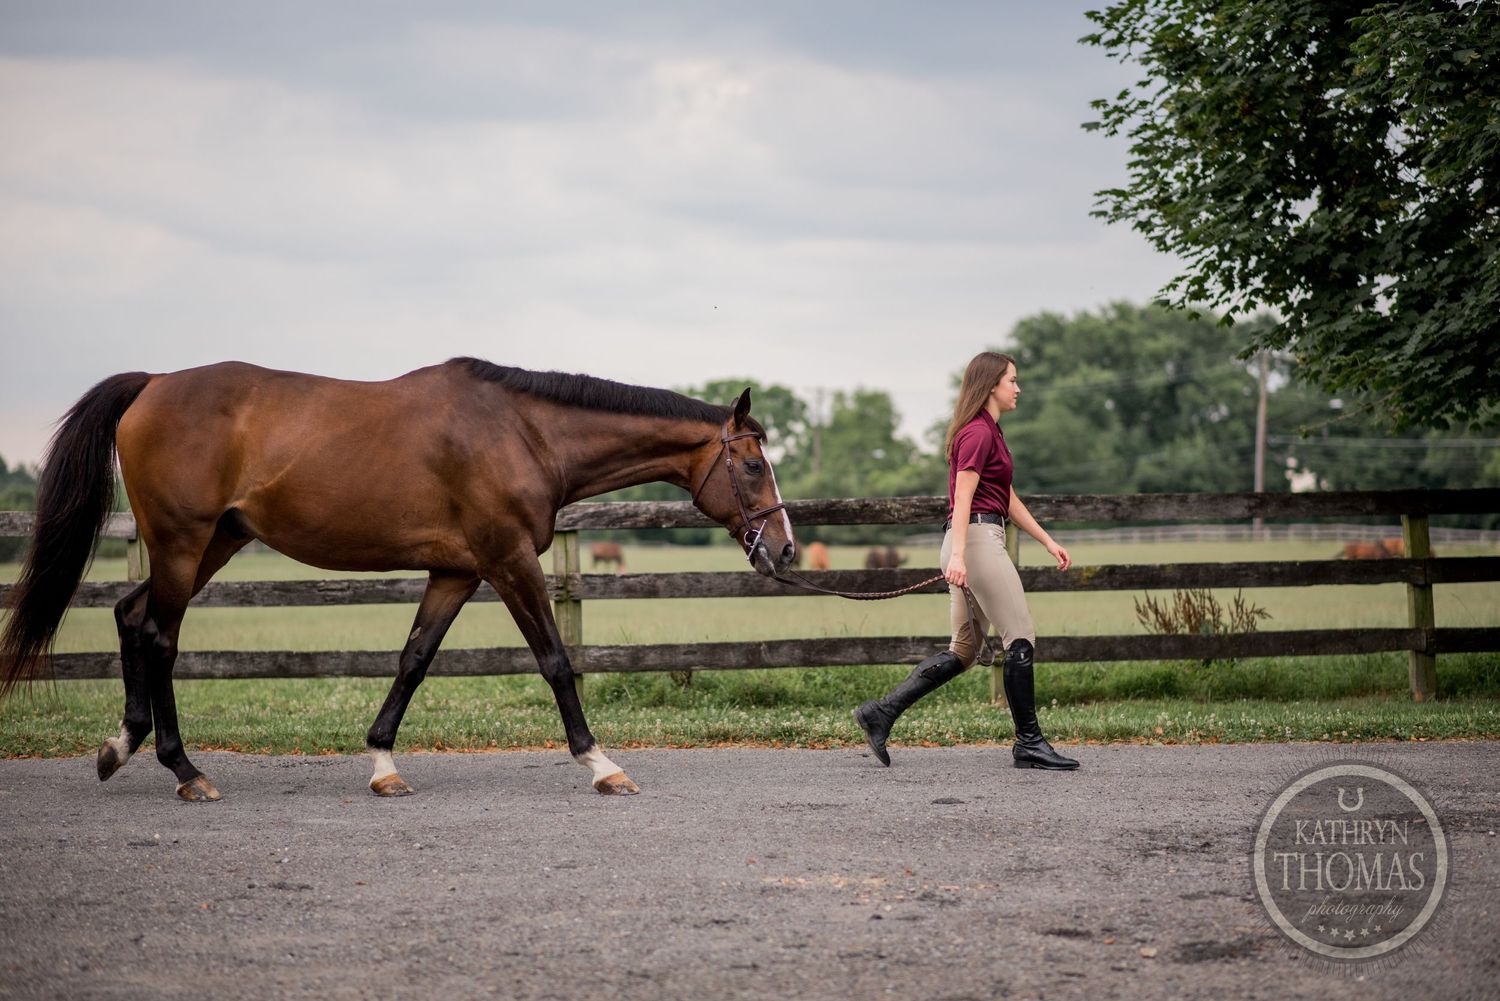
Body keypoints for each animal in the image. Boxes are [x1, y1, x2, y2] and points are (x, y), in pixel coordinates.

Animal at [0, 359, 797, 801]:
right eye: (751, 464)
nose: (785, 553)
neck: (523, 432)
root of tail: (153, 385)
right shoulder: (508, 559)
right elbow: (555, 660)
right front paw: (601, 764)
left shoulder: (456, 570)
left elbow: (414, 659)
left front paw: (383, 763)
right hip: (181, 543)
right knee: (159, 636)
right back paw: (185, 769)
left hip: (213, 543)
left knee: (132, 618)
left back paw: (122, 746)